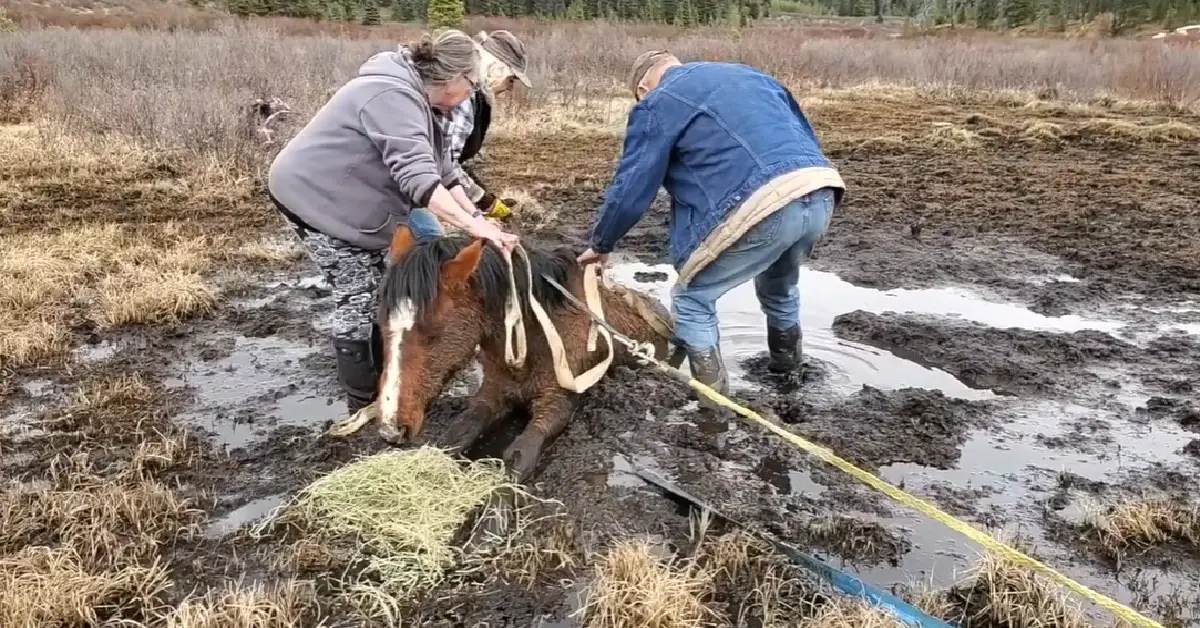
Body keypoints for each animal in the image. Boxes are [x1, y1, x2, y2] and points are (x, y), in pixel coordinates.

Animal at [329, 223, 674, 483]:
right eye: (382, 323)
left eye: (432, 332)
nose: (391, 428)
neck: (531, 340)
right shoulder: (492, 393)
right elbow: (457, 436)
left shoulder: (558, 404)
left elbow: (517, 461)